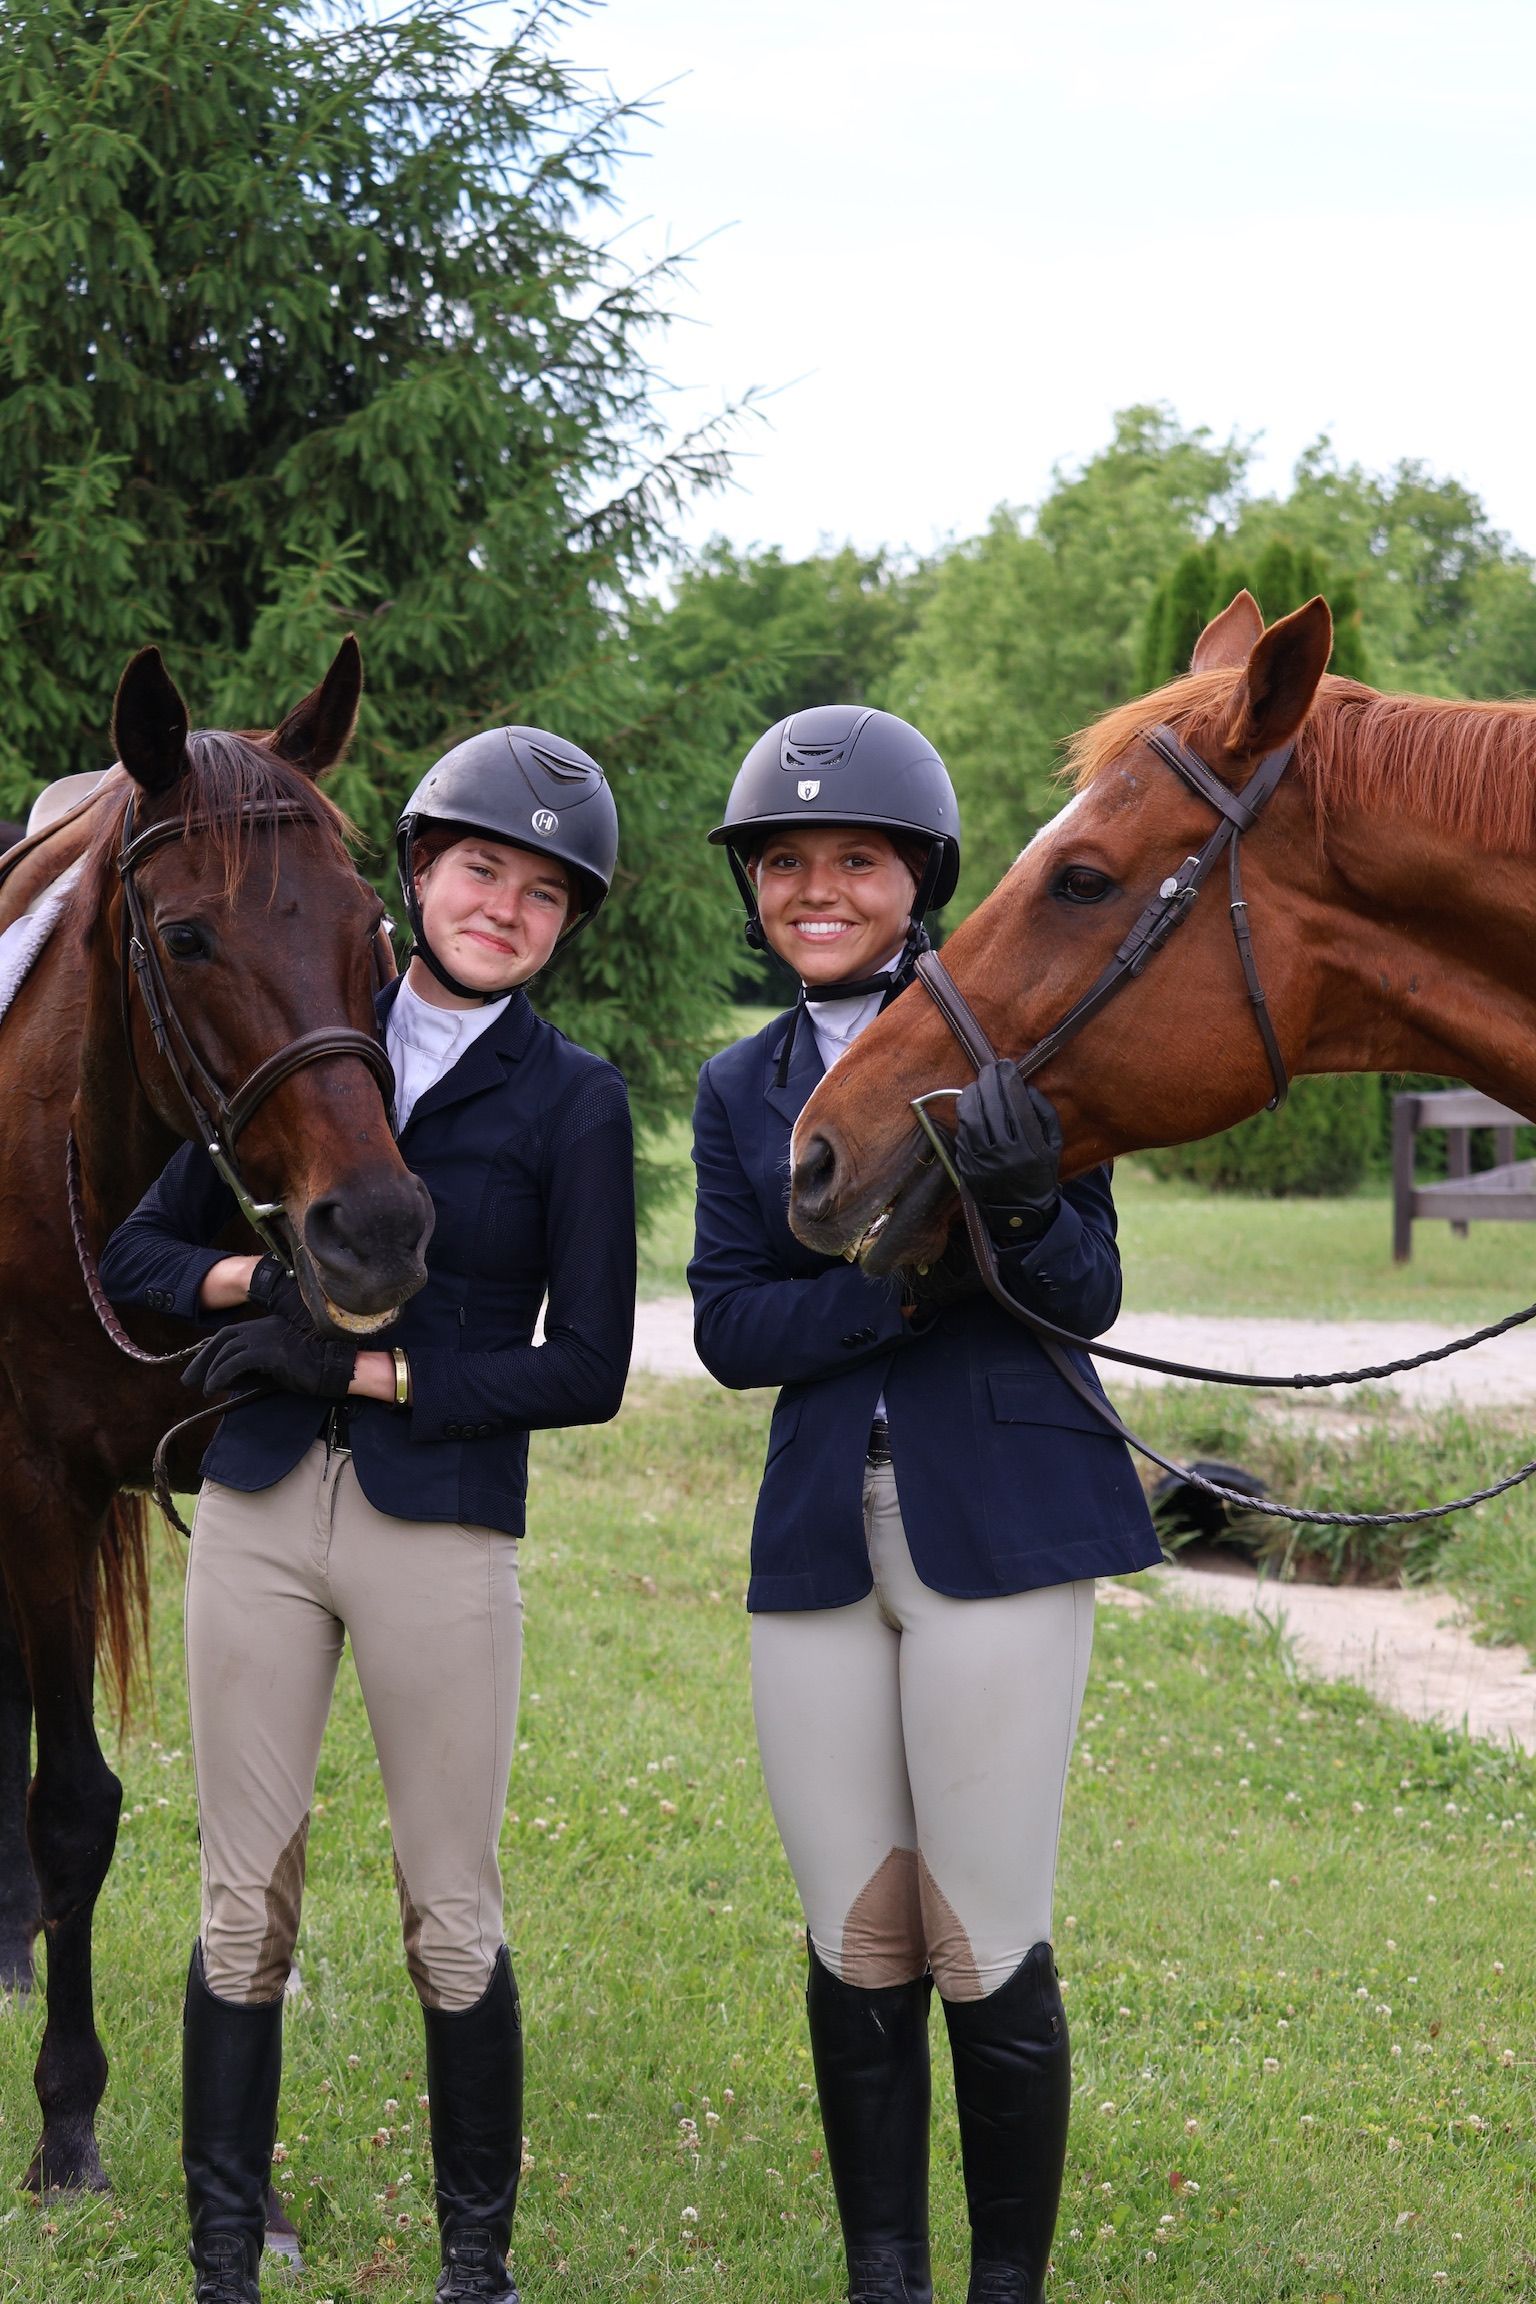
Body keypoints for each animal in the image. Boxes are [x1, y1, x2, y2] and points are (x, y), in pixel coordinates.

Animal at [0, 639, 434, 2199]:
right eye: (186, 941)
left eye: (376, 933)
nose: (375, 1229)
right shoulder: (34, 1486)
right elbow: (74, 1802)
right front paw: (68, 2118)